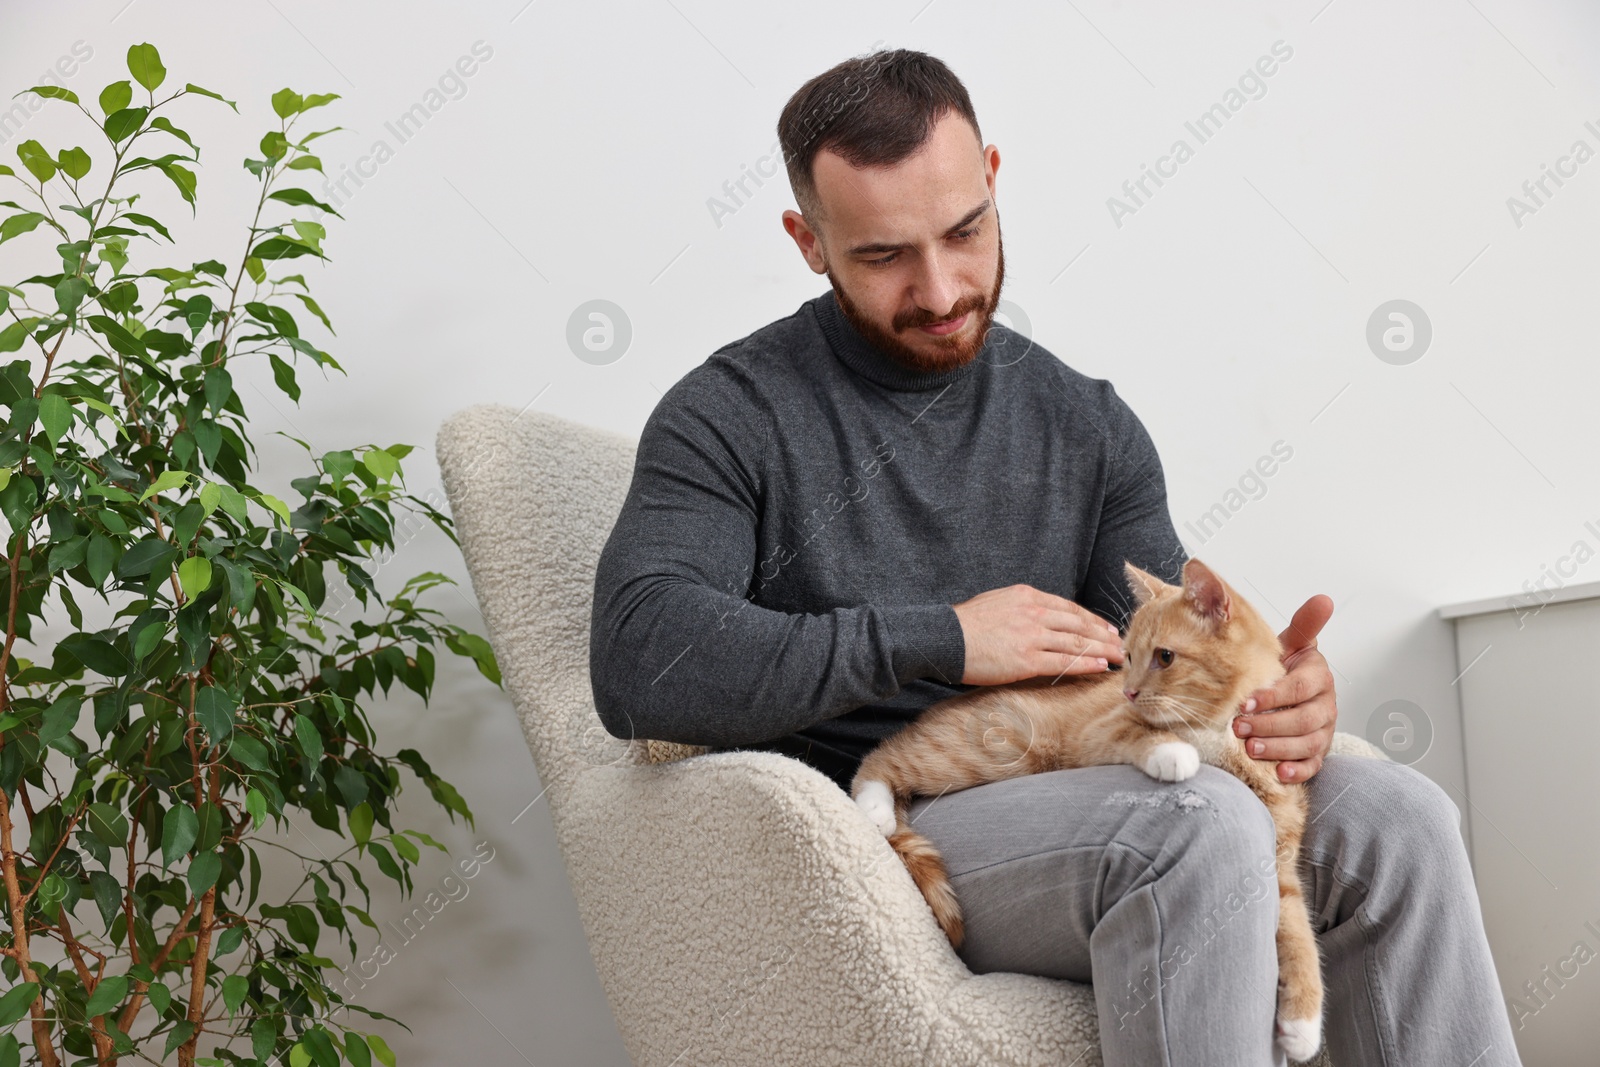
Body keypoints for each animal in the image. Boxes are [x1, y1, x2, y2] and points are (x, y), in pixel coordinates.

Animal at [851, 559, 1324, 1062]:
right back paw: (875, 807)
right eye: (1129, 656)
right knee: (881, 758)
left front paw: (1303, 1022)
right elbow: (1144, 736)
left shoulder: (1277, 860)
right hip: (997, 748)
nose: (1129, 691)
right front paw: (1175, 753)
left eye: (1165, 657)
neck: (1220, 731)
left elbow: (1297, 928)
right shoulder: (1098, 733)